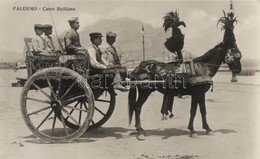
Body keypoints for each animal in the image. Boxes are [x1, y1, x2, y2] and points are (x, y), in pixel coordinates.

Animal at [128, 12, 242, 140]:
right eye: (235, 51)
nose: (239, 69)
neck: (203, 68)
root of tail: (139, 66)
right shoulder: (196, 94)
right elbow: (193, 111)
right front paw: (192, 130)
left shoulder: (201, 94)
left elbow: (203, 111)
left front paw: (207, 128)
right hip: (145, 92)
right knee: (137, 107)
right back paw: (140, 131)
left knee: (136, 107)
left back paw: (140, 129)